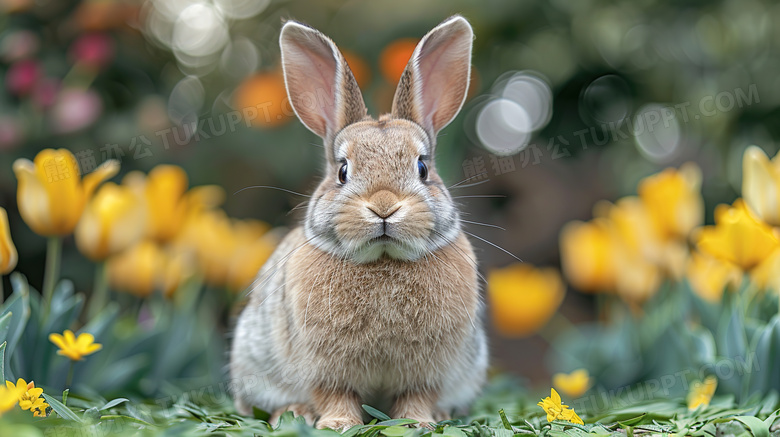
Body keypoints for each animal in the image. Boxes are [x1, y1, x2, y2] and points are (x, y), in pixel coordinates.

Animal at [230, 15, 488, 430]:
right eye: (342, 171)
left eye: (422, 167)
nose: (383, 207)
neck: (383, 260)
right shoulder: (324, 369)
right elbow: (335, 394)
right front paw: (337, 424)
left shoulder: (427, 373)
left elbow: (416, 396)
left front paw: (418, 423)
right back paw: (294, 412)